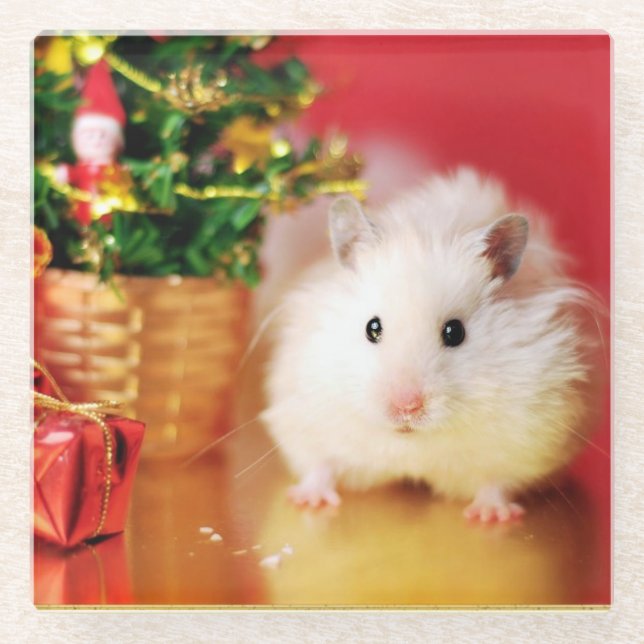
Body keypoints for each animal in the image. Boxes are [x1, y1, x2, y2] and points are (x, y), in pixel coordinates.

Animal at [263, 167, 599, 522]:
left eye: (454, 332)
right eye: (372, 328)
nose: (406, 408)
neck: (413, 441)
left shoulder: (532, 436)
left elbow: (497, 481)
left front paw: (490, 516)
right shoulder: (305, 416)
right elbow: (320, 464)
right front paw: (306, 500)